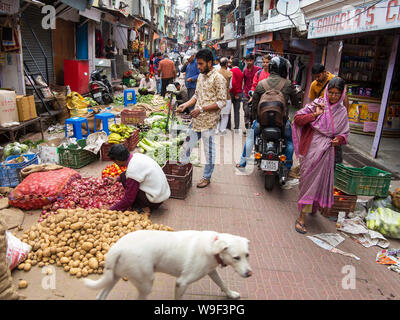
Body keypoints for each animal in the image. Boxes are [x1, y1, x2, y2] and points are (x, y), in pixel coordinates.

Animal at [83, 230, 253, 300]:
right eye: (236, 257)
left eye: (247, 255)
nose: (249, 274)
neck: (212, 245)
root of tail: (117, 248)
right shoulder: (182, 282)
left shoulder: (211, 271)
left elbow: (222, 284)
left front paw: (231, 294)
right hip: (146, 283)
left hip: (115, 276)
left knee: (100, 295)